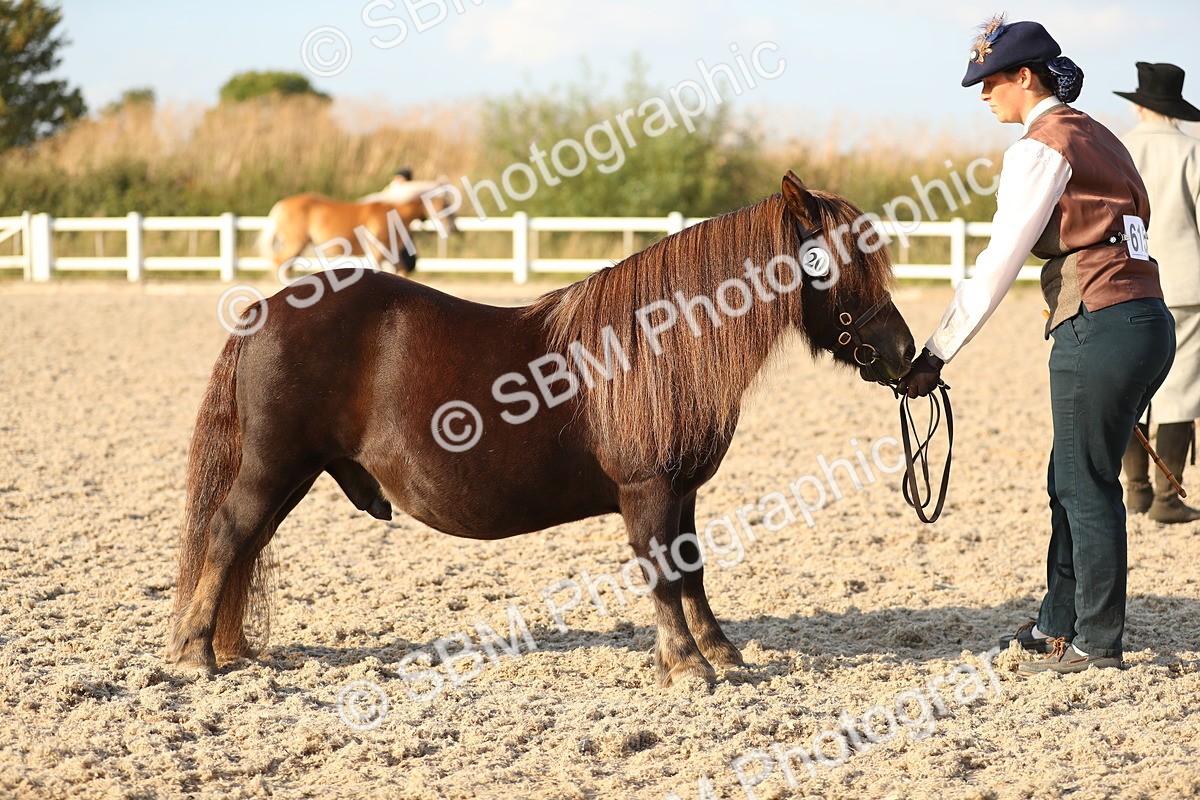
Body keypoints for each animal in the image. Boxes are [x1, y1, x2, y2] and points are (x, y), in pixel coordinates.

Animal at [261, 180, 458, 278]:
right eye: (444, 205)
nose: (452, 229)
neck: (391, 210)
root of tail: (281, 206)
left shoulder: (392, 253)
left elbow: (401, 272)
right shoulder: (377, 251)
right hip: (296, 243)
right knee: (281, 263)